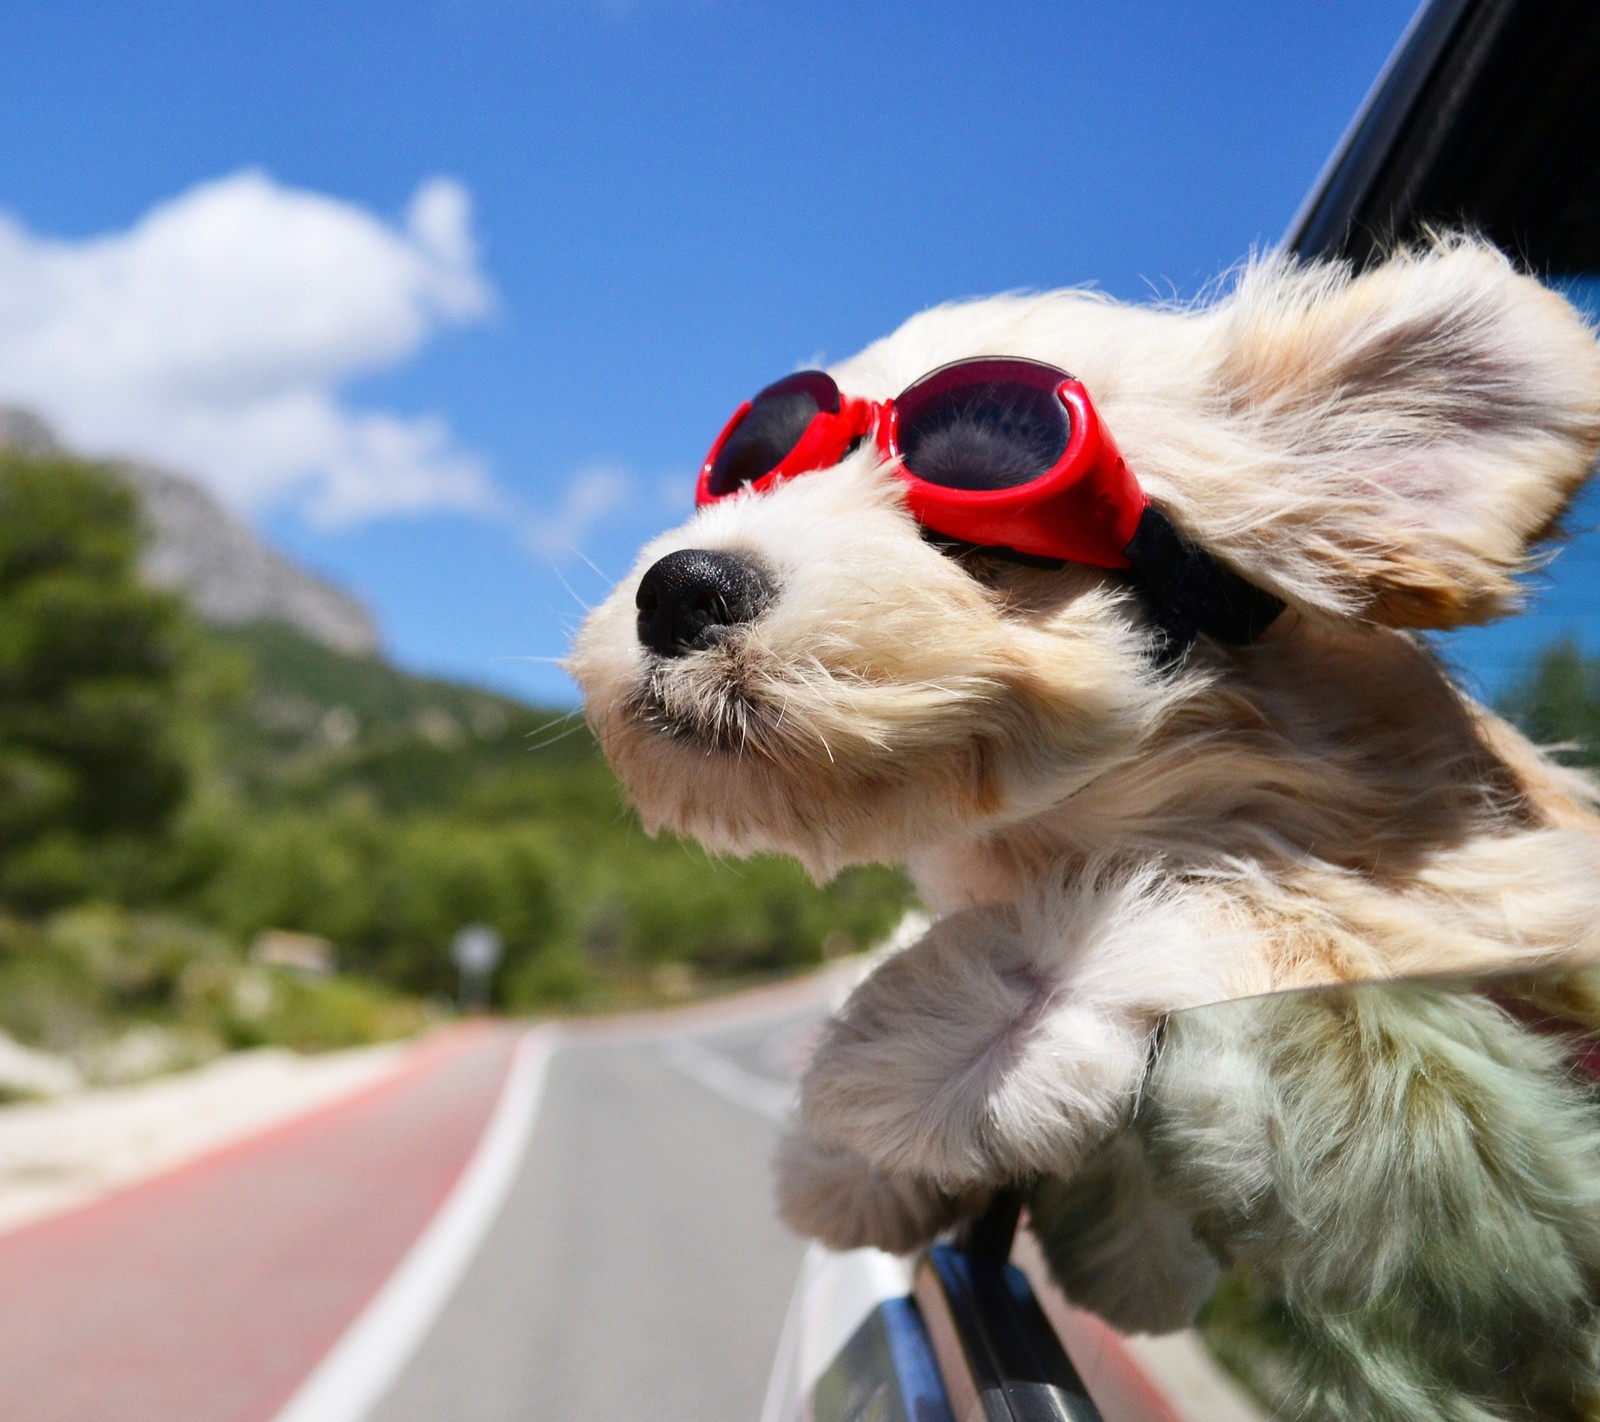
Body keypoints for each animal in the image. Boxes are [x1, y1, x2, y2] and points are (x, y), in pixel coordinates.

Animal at [569, 238, 1600, 1414]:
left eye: (979, 525)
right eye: (753, 466)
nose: (679, 588)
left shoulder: (1500, 908)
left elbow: (1292, 916)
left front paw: (942, 1037)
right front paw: (856, 1155)